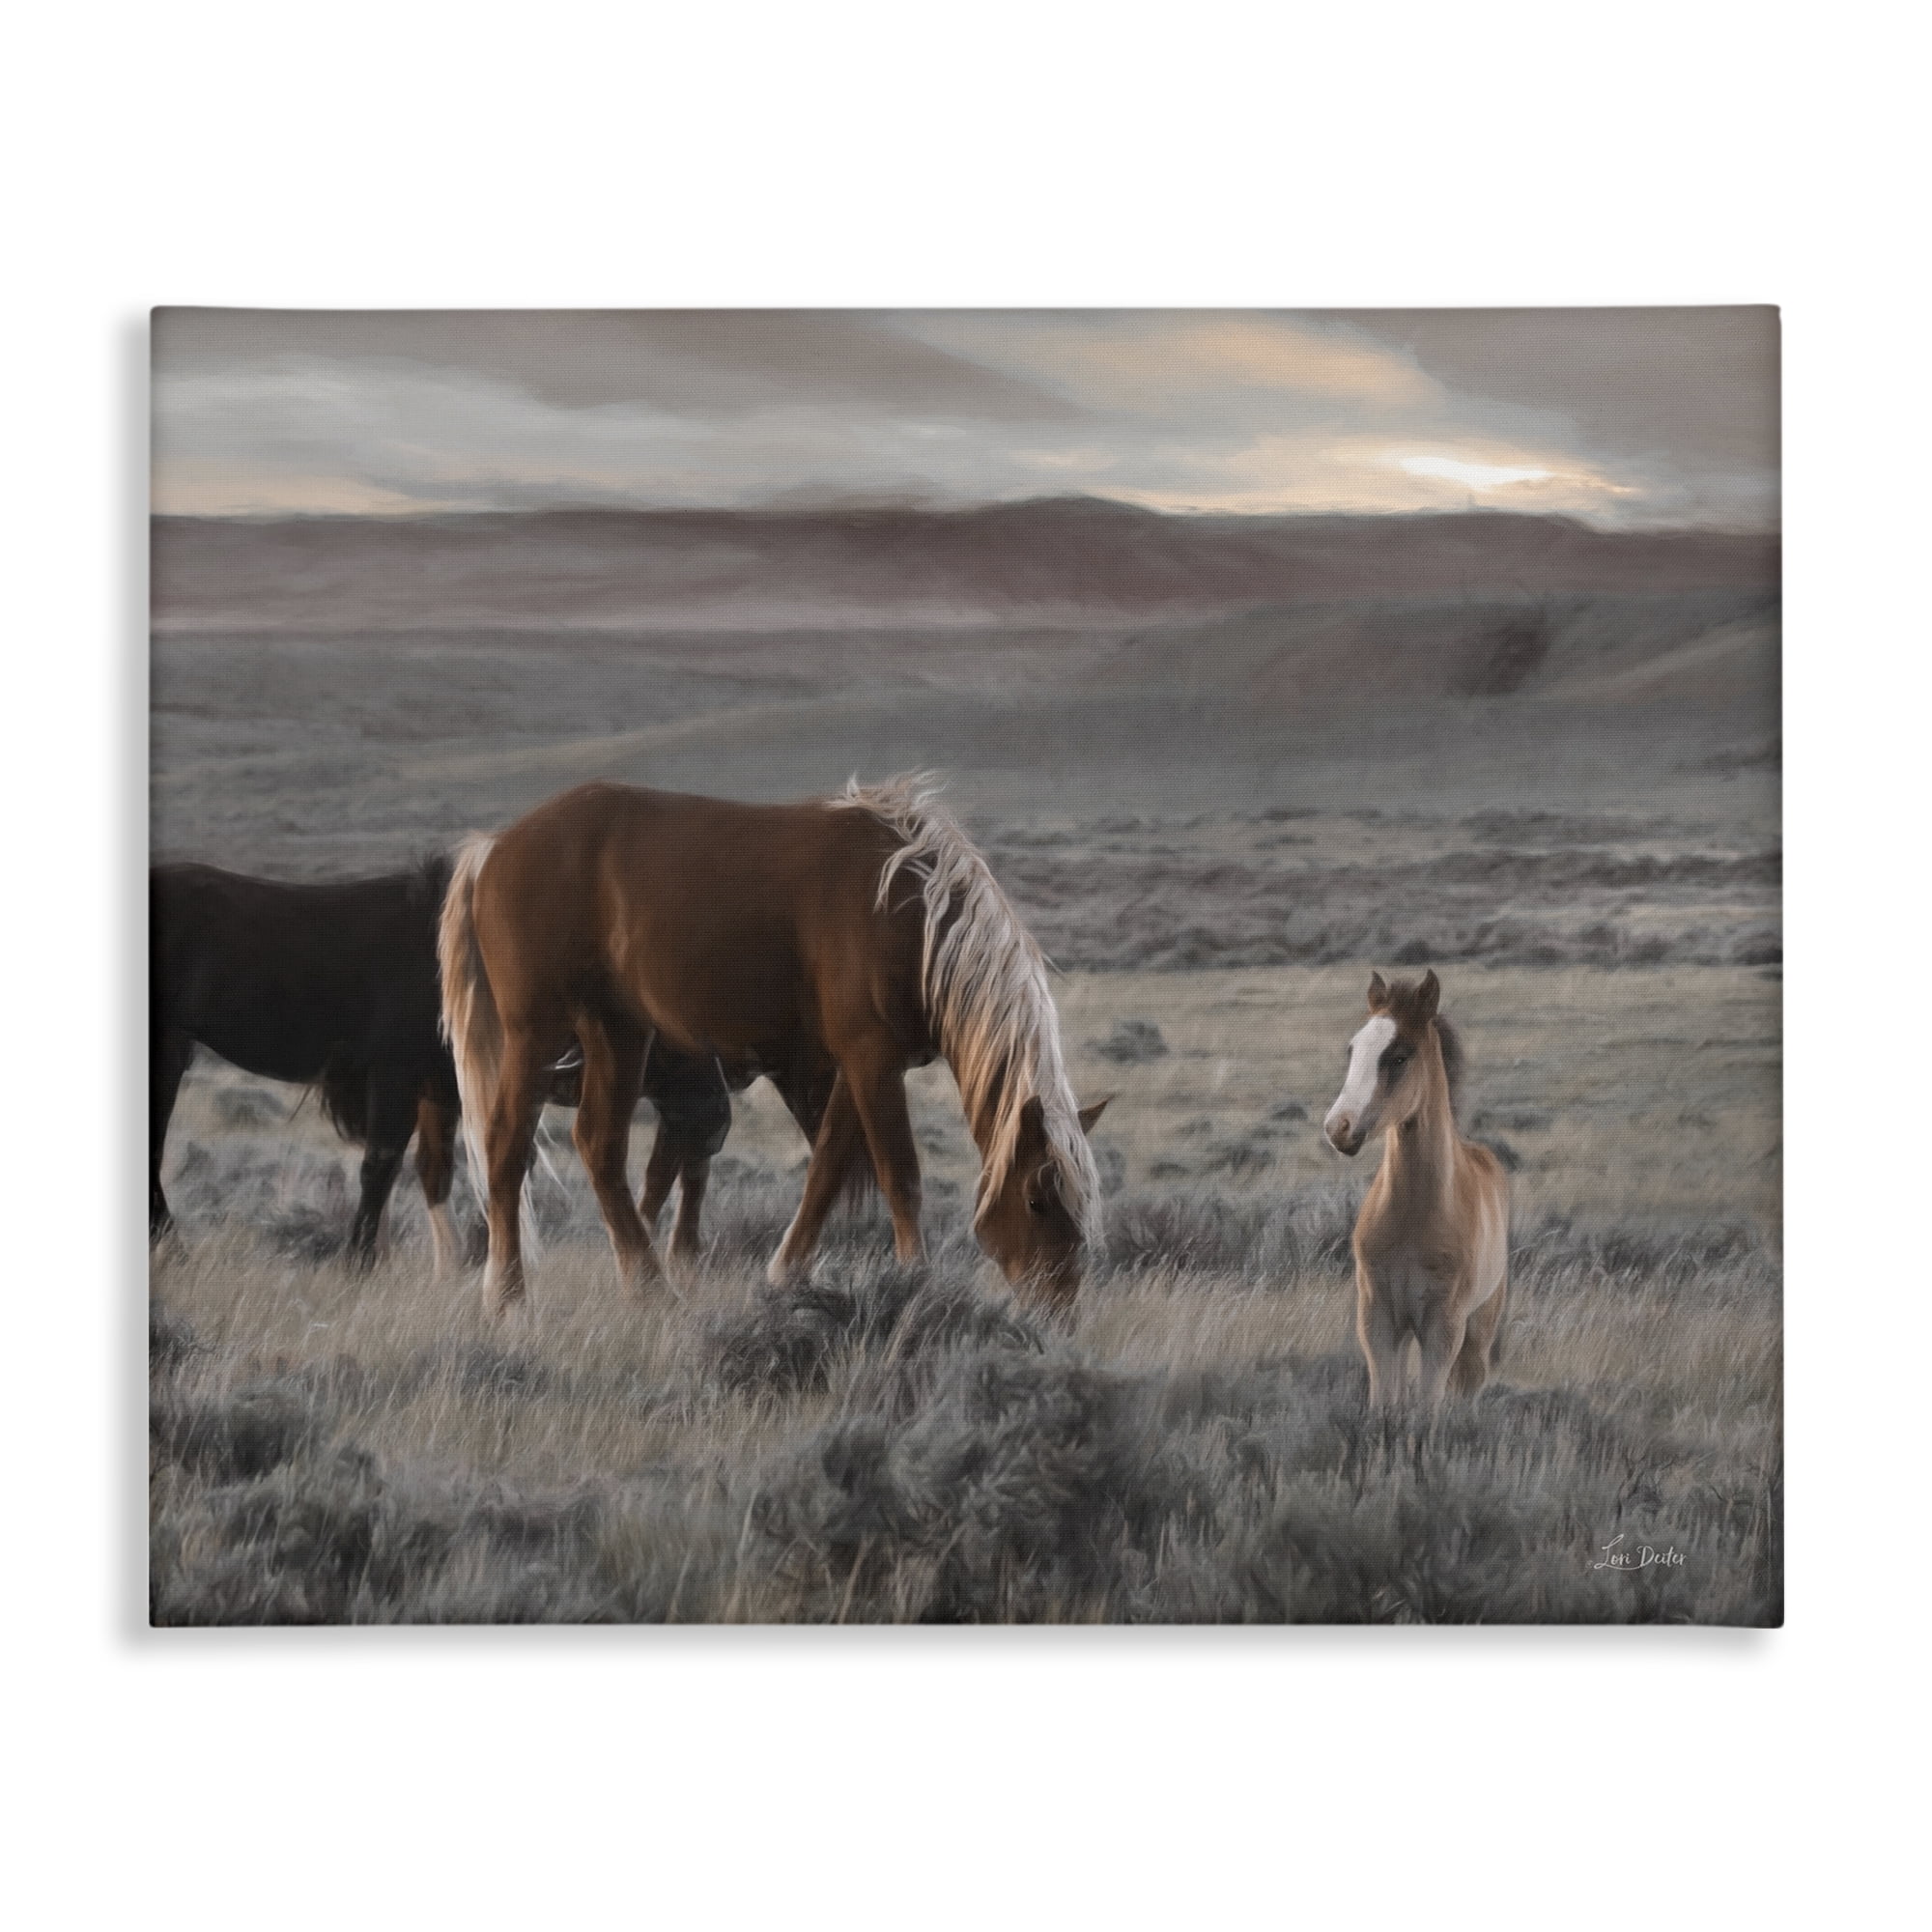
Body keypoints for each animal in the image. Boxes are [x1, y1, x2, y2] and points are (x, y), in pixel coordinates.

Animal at [151, 859, 764, 1272]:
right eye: (657, 1028)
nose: (718, 1116)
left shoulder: (437, 1089)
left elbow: (440, 1171)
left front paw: (451, 1265)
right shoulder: (396, 1077)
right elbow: (382, 1166)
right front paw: (362, 1259)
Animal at [437, 775, 1108, 1318]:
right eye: (1037, 1199)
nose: (1059, 1311)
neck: (912, 916)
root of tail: (494, 848)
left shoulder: (857, 1066)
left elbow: (828, 1168)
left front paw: (786, 1274)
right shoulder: (872, 1060)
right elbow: (900, 1174)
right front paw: (917, 1280)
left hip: (619, 1031)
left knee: (600, 1148)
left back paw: (649, 1286)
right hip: (535, 1033)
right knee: (506, 1146)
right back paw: (507, 1295)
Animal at [1322, 970, 1509, 1408]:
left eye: (1399, 1056)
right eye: (1353, 1049)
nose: (1337, 1127)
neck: (1414, 1215)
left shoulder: (1443, 1327)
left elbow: (1428, 1407)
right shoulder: (1378, 1318)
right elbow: (1384, 1402)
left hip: (1481, 1323)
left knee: (1471, 1383)